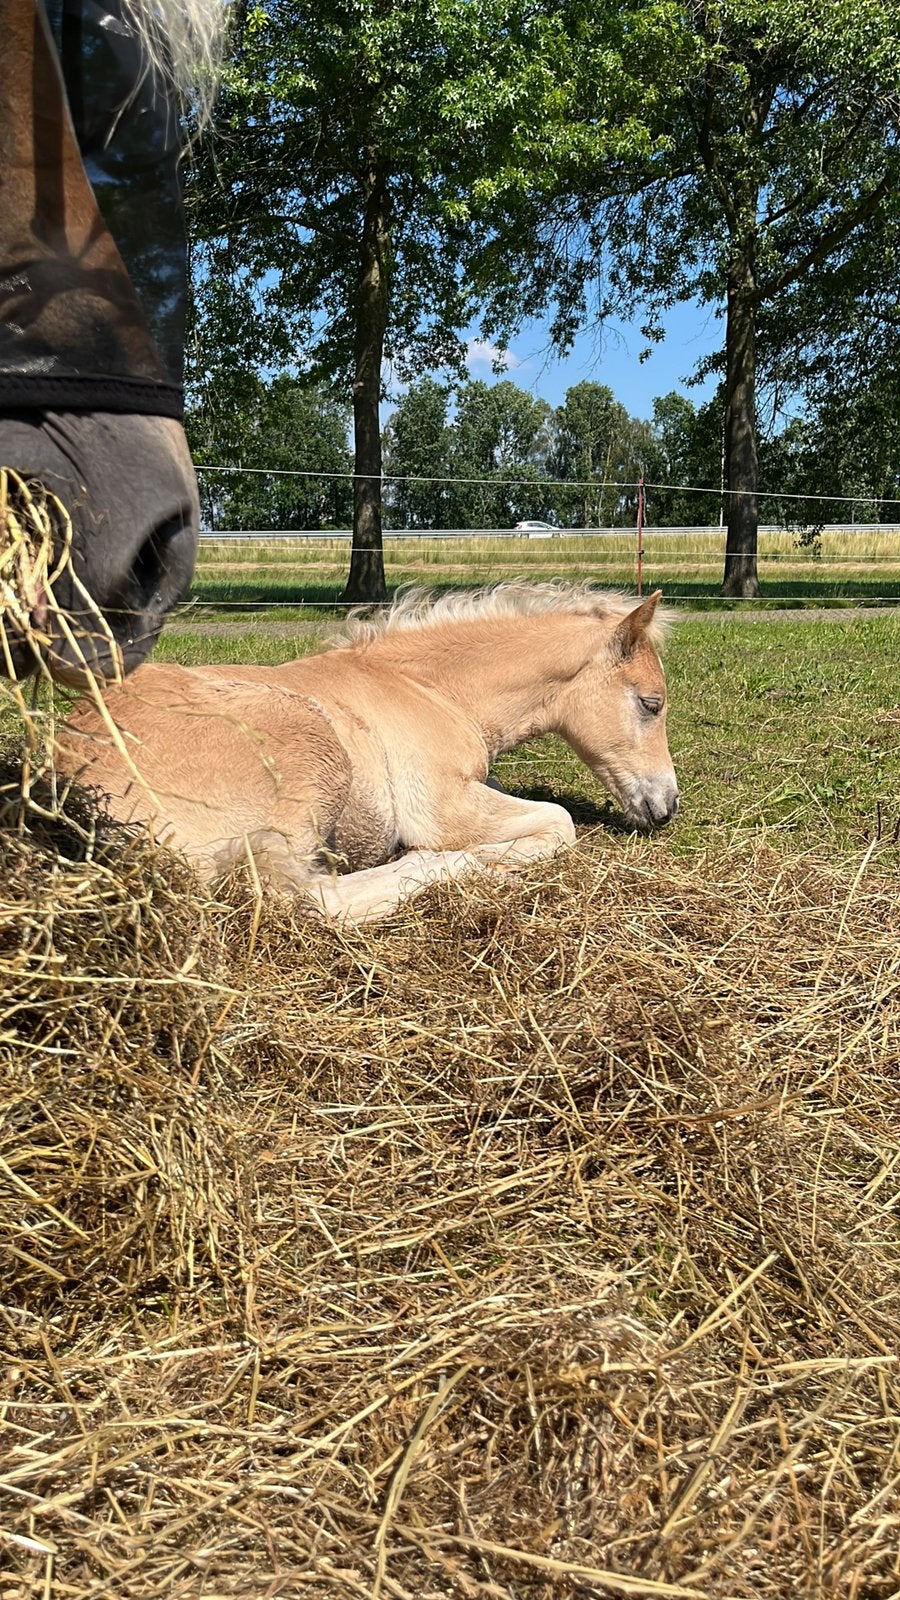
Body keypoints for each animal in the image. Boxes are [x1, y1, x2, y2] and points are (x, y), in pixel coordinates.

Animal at [55, 583, 679, 922]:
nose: (667, 806)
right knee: (307, 899)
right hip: (310, 746)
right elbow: (560, 822)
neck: (428, 688)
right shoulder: (442, 806)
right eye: (651, 704)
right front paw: (492, 859)